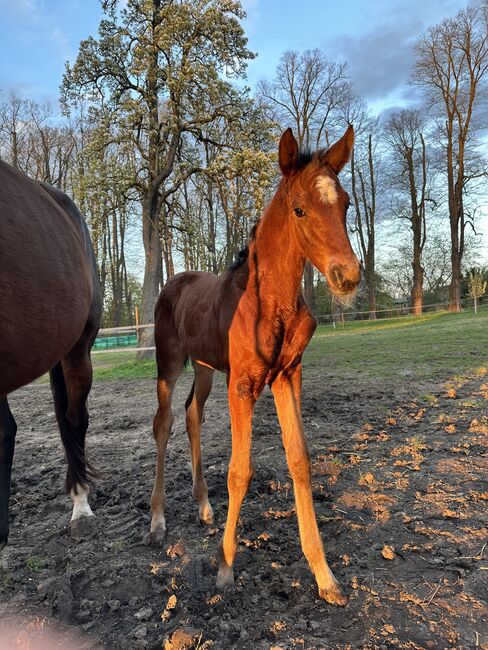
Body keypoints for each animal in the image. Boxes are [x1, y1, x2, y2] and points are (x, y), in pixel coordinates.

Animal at [151, 125, 360, 604]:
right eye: (299, 209)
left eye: (344, 204)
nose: (348, 275)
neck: (271, 303)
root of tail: (175, 279)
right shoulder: (243, 384)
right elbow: (239, 470)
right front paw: (225, 566)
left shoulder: (287, 375)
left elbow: (300, 459)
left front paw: (324, 574)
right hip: (168, 364)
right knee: (164, 422)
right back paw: (157, 520)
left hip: (205, 368)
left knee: (192, 415)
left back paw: (204, 506)